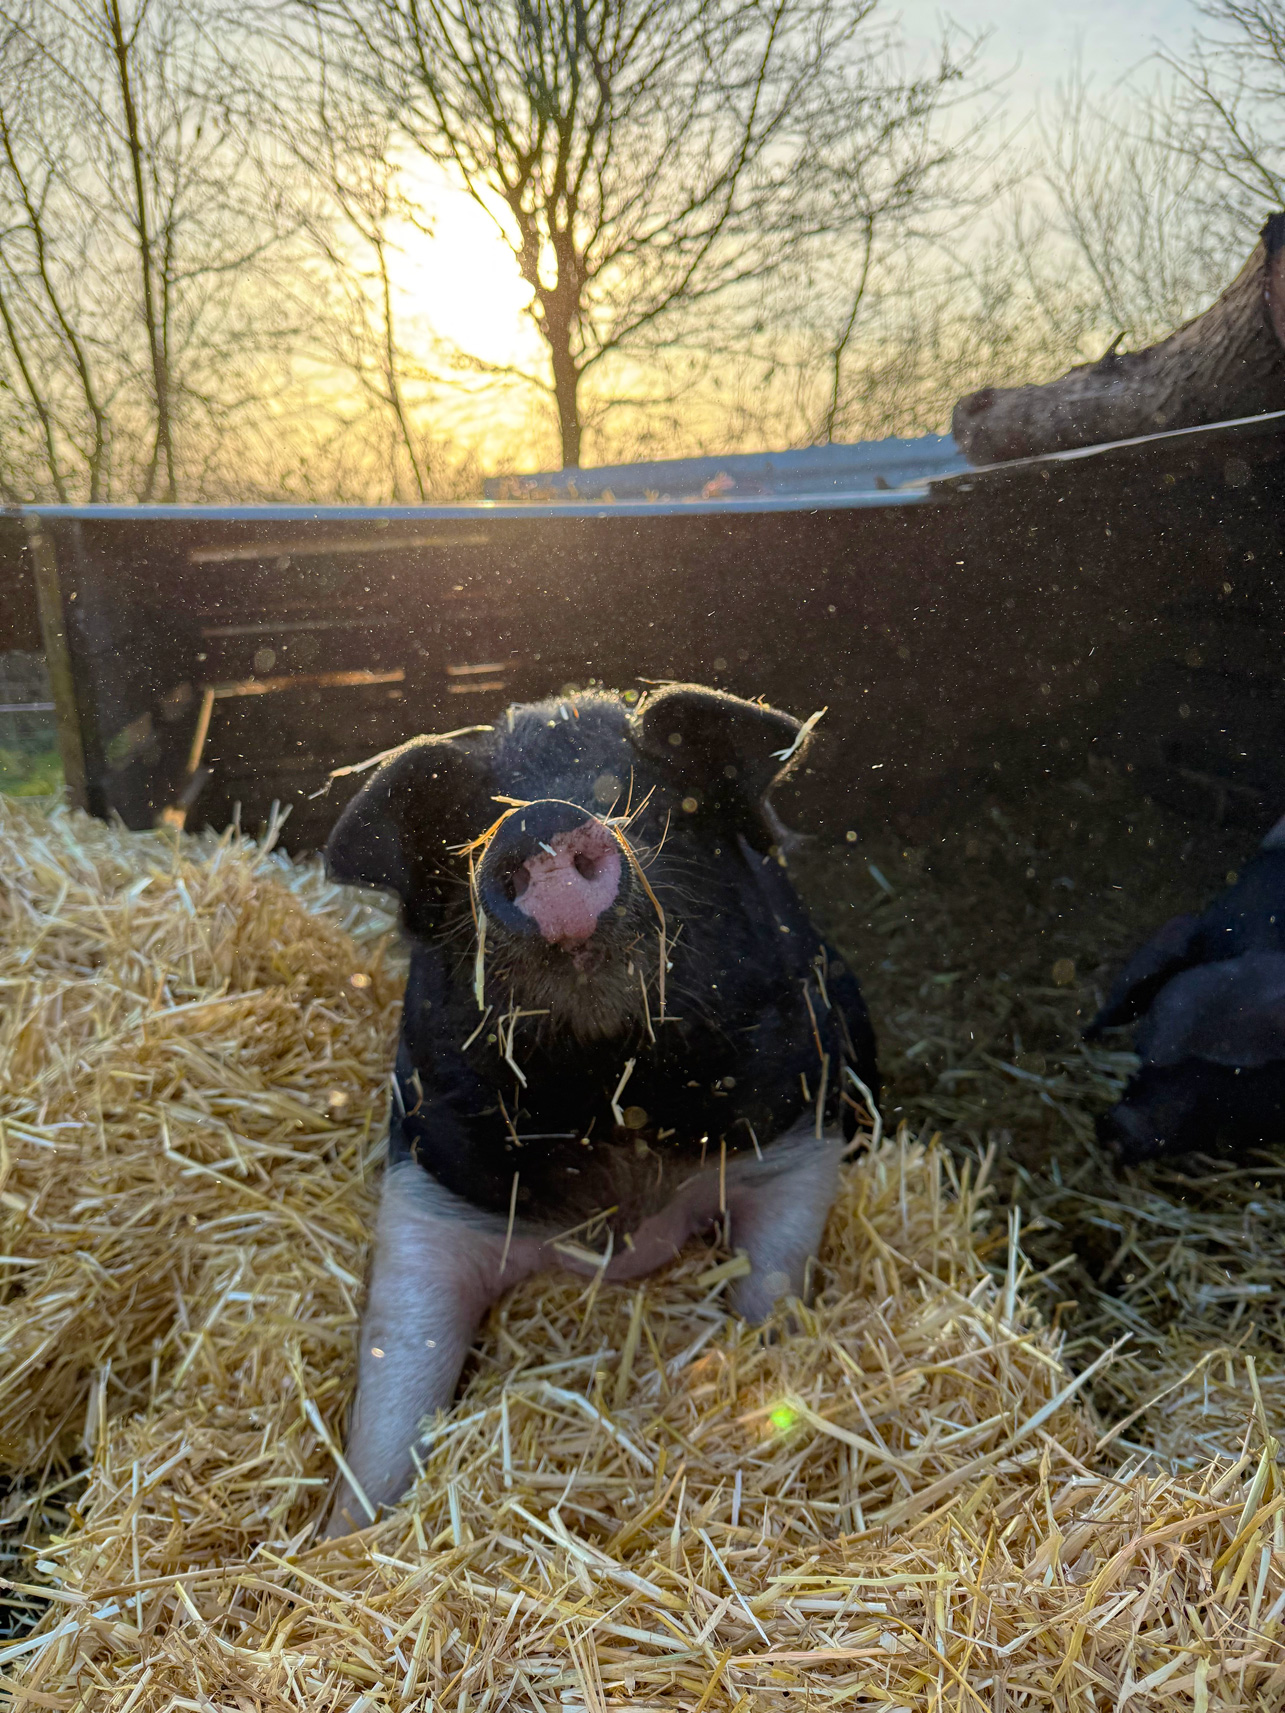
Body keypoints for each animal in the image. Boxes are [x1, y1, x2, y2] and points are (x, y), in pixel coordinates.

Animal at [322, 684, 878, 1533]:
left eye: (644, 803)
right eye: (465, 833)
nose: (540, 822)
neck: (607, 1090)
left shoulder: (797, 1132)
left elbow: (771, 1277)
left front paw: (769, 1359)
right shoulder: (425, 1189)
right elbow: (397, 1371)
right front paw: (339, 1534)